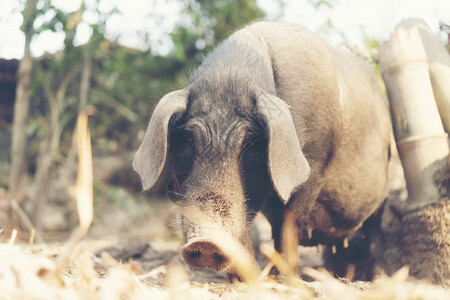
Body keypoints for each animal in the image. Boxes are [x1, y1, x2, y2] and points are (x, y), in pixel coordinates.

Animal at [133, 21, 390, 276]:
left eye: (252, 141)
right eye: (188, 138)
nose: (207, 243)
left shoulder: (314, 167)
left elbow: (288, 226)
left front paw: (282, 277)